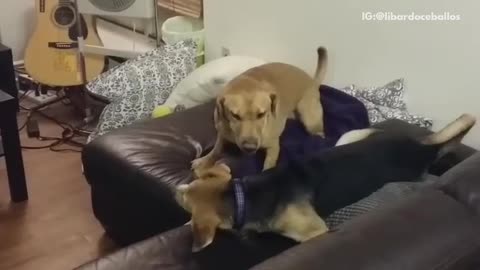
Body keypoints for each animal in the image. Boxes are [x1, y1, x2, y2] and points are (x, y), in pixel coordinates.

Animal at [175, 113, 476, 251]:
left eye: (186, 199)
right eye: (188, 188)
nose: (177, 188)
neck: (243, 195)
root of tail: (421, 147)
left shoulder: (315, 231)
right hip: (352, 136)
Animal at [193, 46, 328, 174]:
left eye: (261, 114)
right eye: (235, 115)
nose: (250, 147)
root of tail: (312, 80)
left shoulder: (273, 147)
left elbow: (268, 167)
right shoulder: (222, 134)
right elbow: (216, 150)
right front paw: (204, 160)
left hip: (310, 120)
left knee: (319, 134)